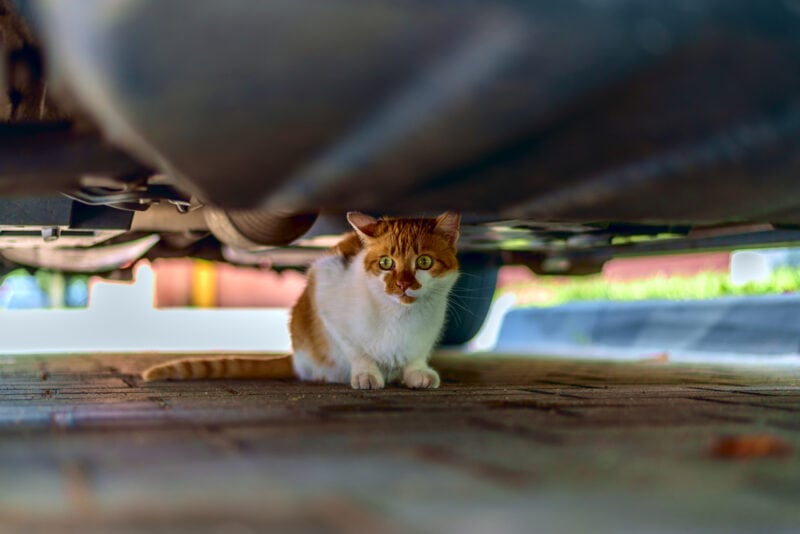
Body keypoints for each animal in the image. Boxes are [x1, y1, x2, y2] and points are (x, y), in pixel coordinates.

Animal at [141, 211, 460, 392]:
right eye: (385, 263)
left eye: (424, 262)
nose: (403, 284)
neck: (398, 316)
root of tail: (295, 357)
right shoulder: (327, 296)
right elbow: (357, 351)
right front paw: (366, 374)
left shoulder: (427, 334)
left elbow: (416, 355)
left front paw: (416, 372)